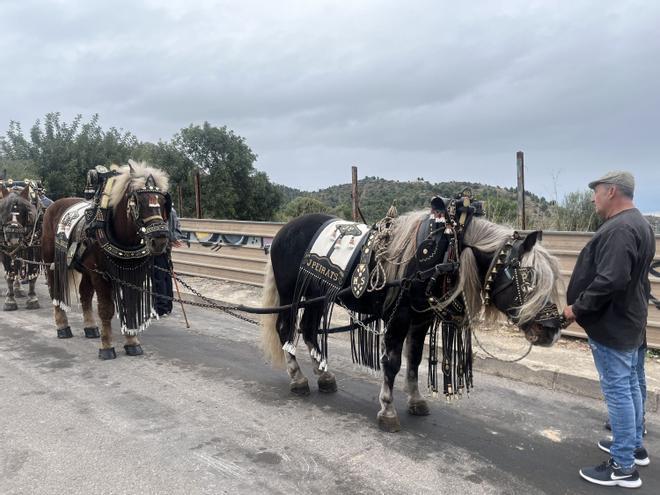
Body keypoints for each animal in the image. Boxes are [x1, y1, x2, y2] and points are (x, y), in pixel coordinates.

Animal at [41, 163, 170, 360]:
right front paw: (107, 346)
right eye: (138, 201)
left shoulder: (132, 276)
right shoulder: (100, 275)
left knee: (85, 294)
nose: (160, 240)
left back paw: (90, 327)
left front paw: (132, 342)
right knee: (55, 292)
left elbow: (130, 307)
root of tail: (54, 205)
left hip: (85, 270)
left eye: (163, 202)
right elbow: (106, 309)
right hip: (52, 263)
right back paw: (62, 326)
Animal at [260, 211, 564, 432]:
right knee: (285, 329)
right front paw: (387, 409)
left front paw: (416, 400)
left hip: (317, 295)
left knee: (309, 330)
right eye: (528, 278)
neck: (444, 253)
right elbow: (393, 363)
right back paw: (298, 379)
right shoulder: (400, 317)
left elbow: (415, 359)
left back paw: (324, 376)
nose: (552, 330)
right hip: (291, 294)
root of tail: (284, 231)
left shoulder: (421, 320)